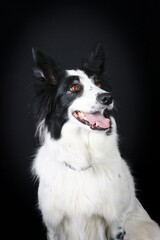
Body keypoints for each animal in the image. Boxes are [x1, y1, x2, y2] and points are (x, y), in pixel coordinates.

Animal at [31, 44, 160, 239]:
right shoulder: (54, 227)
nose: (108, 97)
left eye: (98, 84)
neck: (81, 160)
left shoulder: (115, 224)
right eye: (74, 87)